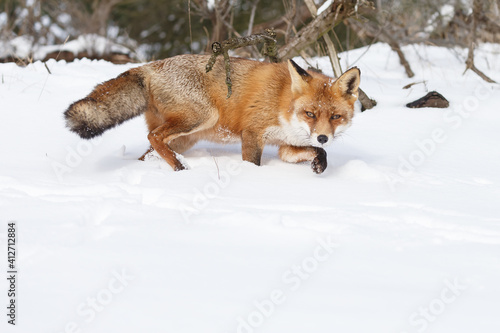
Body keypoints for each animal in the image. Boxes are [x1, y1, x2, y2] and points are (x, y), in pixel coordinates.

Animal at [65, 54, 360, 174]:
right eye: (310, 113)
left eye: (335, 117)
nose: (322, 137)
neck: (282, 102)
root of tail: (150, 66)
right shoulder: (252, 133)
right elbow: (253, 164)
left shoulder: (285, 147)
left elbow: (316, 153)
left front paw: (319, 164)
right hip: (202, 117)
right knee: (154, 136)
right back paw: (180, 168)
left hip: (184, 138)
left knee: (149, 150)